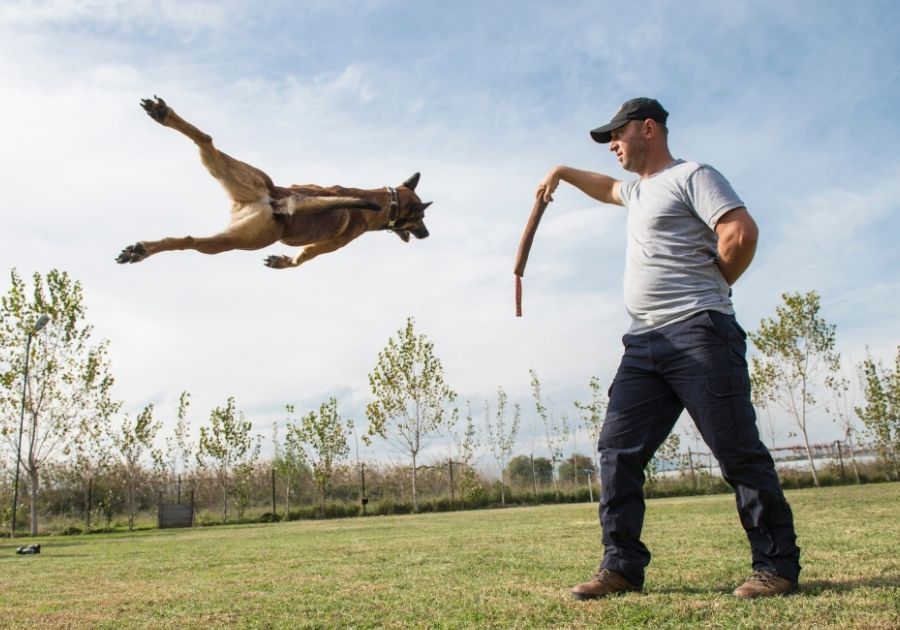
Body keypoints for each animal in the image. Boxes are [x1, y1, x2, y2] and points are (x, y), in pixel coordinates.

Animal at [116, 96, 432, 270]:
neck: (383, 201)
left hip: (236, 195)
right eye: (419, 218)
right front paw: (285, 262)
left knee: (205, 143)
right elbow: (301, 259)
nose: (426, 235)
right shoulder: (325, 247)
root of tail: (276, 201)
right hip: (241, 238)